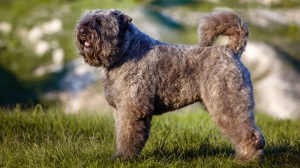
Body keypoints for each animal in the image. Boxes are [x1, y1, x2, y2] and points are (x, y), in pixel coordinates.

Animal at [75, 8, 264, 163]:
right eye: (84, 20)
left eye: (100, 22)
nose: (82, 31)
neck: (127, 51)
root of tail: (230, 50)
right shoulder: (120, 110)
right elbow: (121, 133)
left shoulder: (132, 109)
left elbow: (128, 135)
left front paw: (123, 158)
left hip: (227, 103)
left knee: (249, 133)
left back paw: (248, 158)